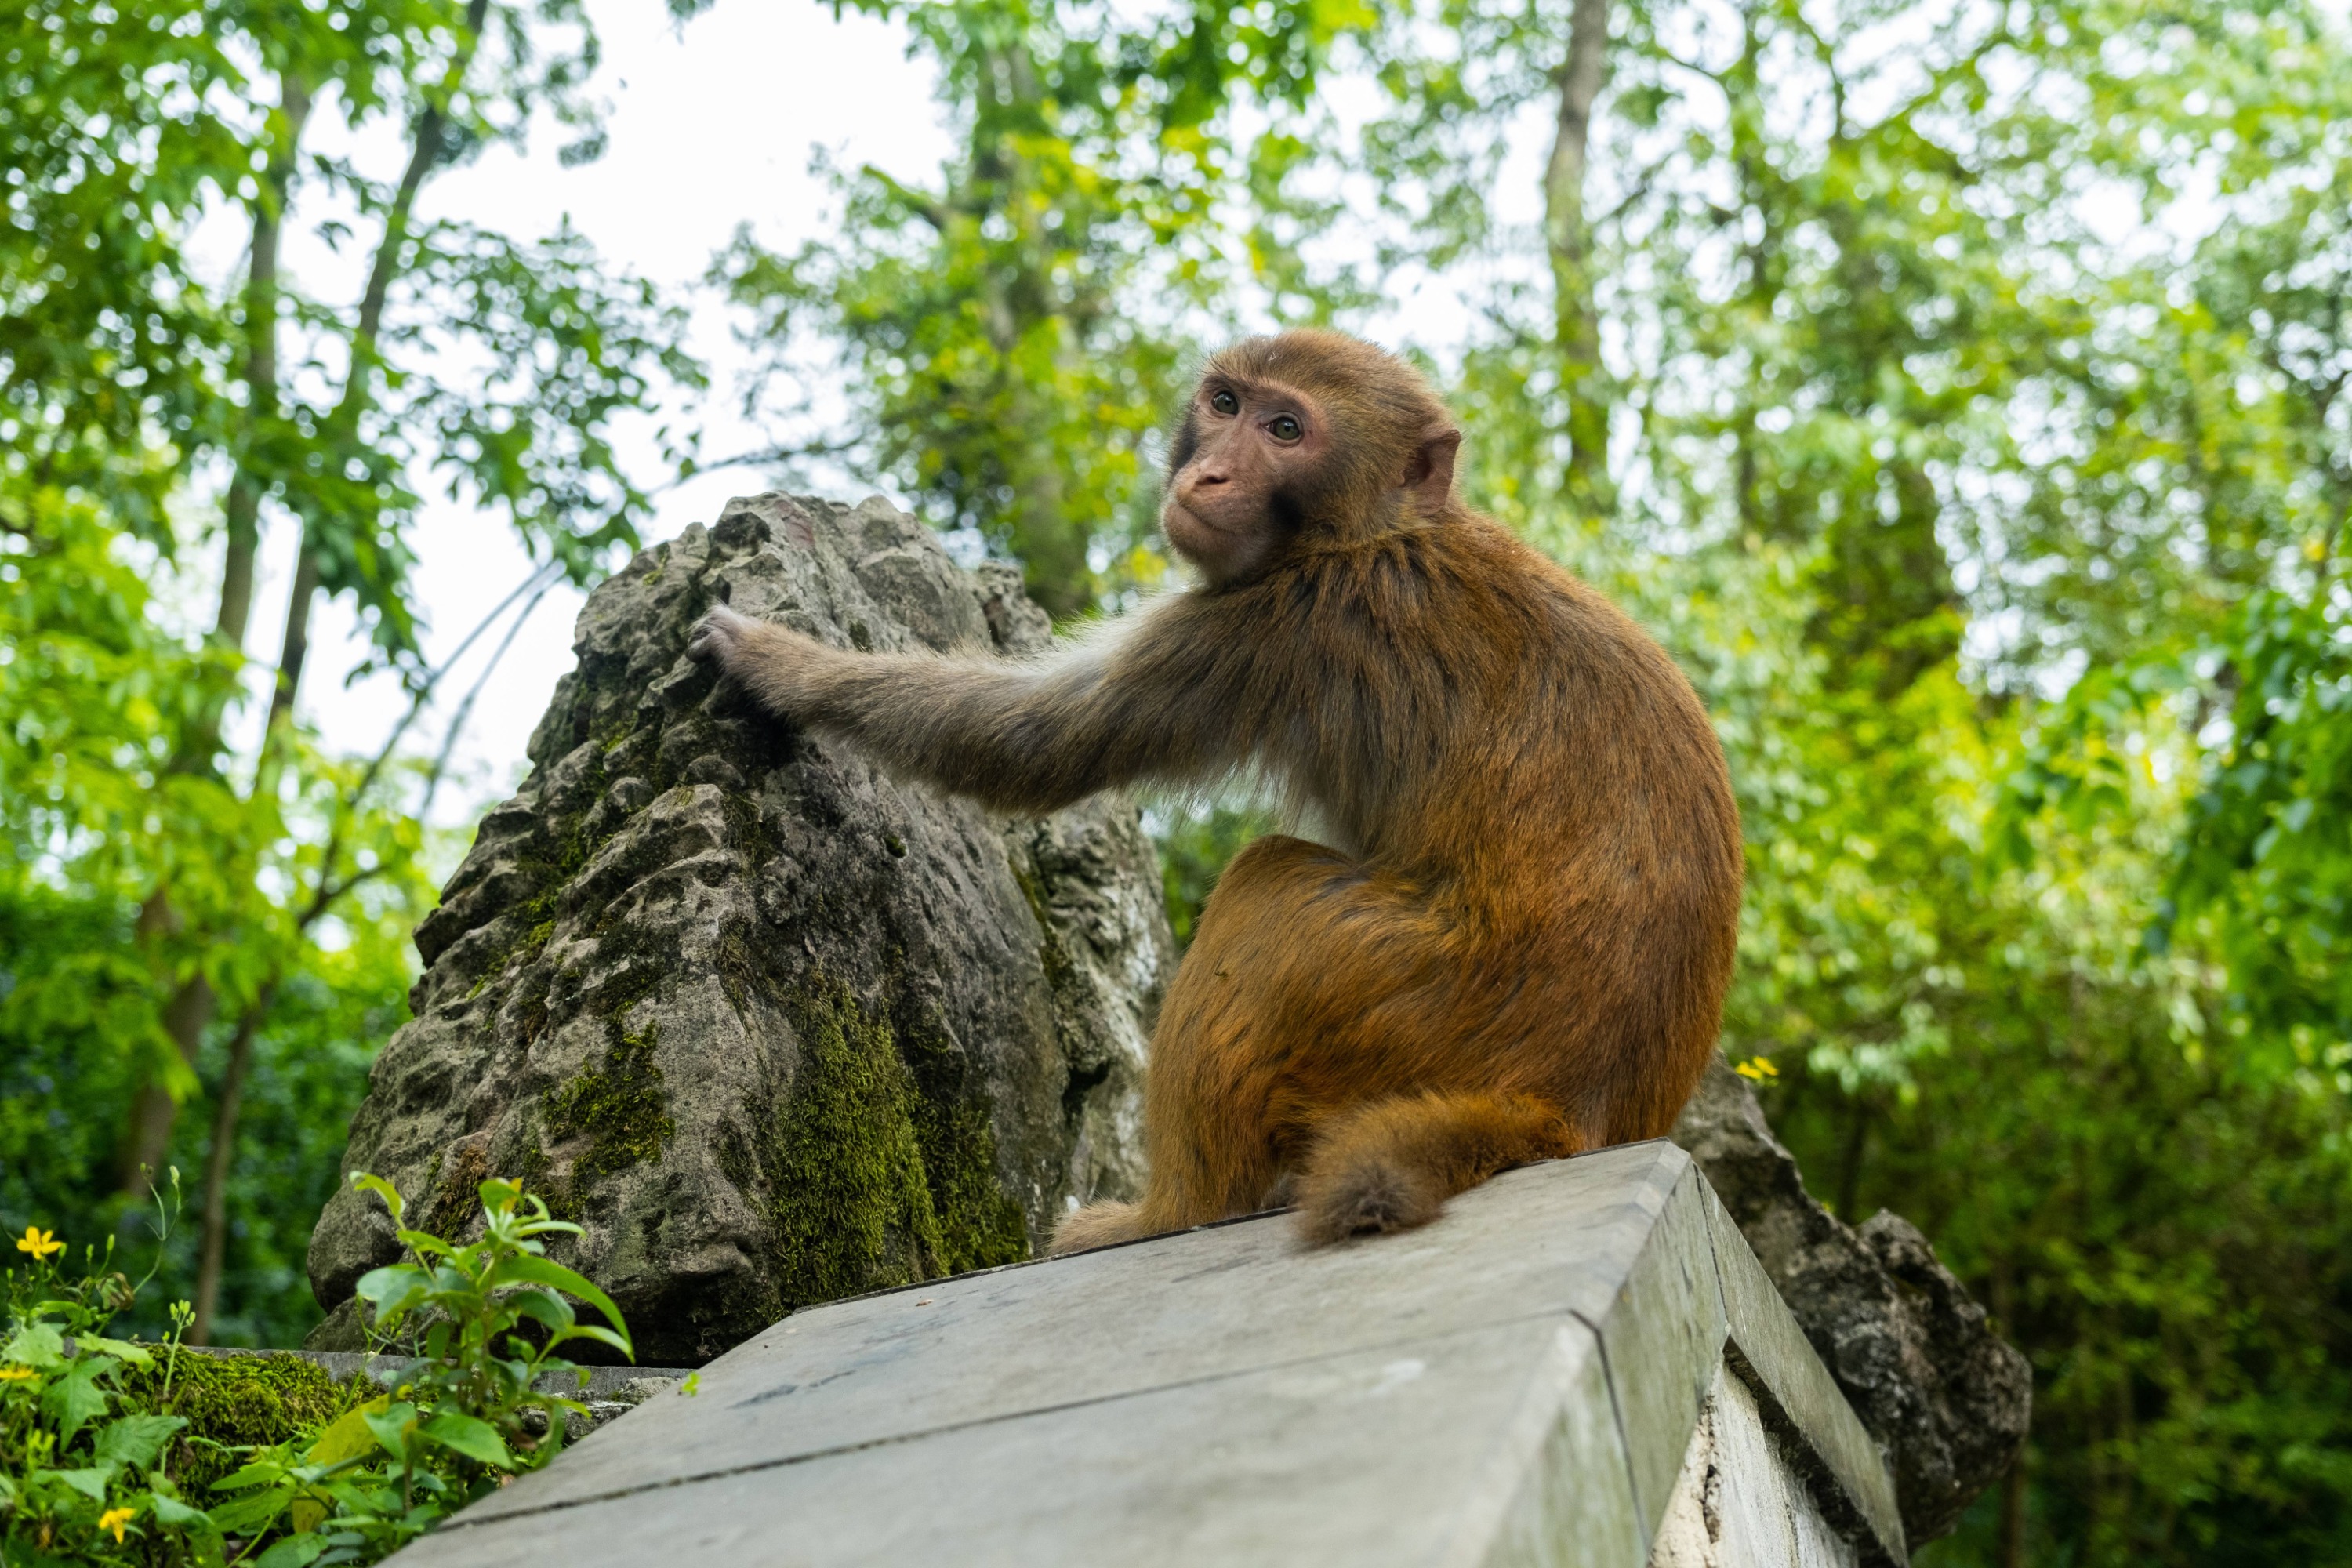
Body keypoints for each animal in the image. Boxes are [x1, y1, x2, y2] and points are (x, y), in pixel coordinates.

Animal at [687, 328, 1750, 1250]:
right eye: (1226, 405)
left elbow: (1035, 741)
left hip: (1406, 997)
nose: (1208, 475)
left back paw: (1175, 1210)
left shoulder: (1276, 622)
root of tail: (1563, 1109)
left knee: (1265, 888)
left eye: (1286, 430)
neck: (1373, 530)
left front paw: (784, 666)